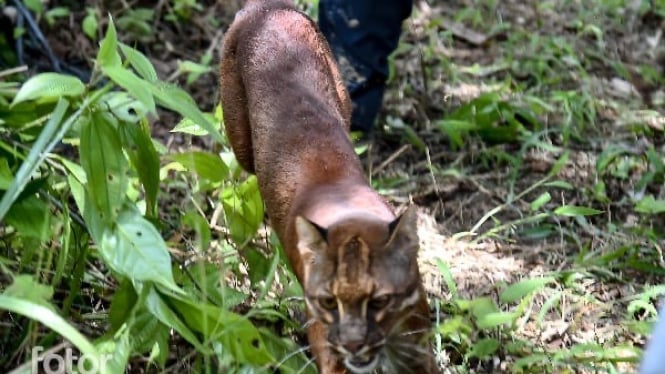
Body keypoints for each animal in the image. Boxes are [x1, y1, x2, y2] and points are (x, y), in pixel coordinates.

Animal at [219, 1, 436, 372]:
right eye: (330, 302)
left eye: (378, 300)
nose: (353, 342)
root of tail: (268, 7)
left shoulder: (418, 347)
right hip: (241, 138)